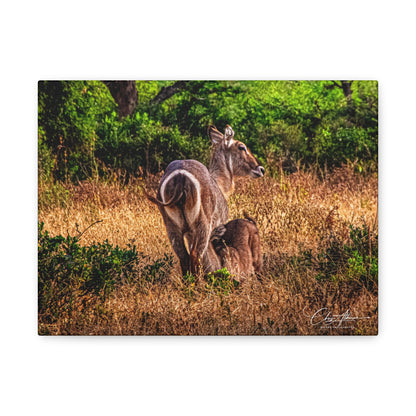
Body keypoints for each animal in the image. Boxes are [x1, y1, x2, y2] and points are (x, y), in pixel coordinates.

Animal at [146, 125, 264, 278]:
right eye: (241, 147)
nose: (260, 169)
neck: (219, 184)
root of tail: (180, 176)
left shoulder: (189, 234)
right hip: (202, 225)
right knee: (195, 255)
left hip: (172, 227)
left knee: (184, 258)